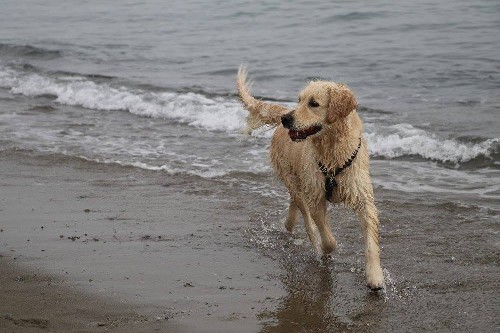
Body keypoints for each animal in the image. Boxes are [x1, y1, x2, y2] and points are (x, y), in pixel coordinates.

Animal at [236, 66, 384, 290]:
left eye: (313, 103)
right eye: (299, 100)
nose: (286, 119)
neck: (332, 152)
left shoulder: (362, 196)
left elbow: (370, 241)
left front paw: (375, 276)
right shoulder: (316, 197)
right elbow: (328, 239)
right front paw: (324, 249)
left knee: (294, 203)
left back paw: (289, 224)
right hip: (293, 179)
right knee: (303, 213)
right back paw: (309, 236)